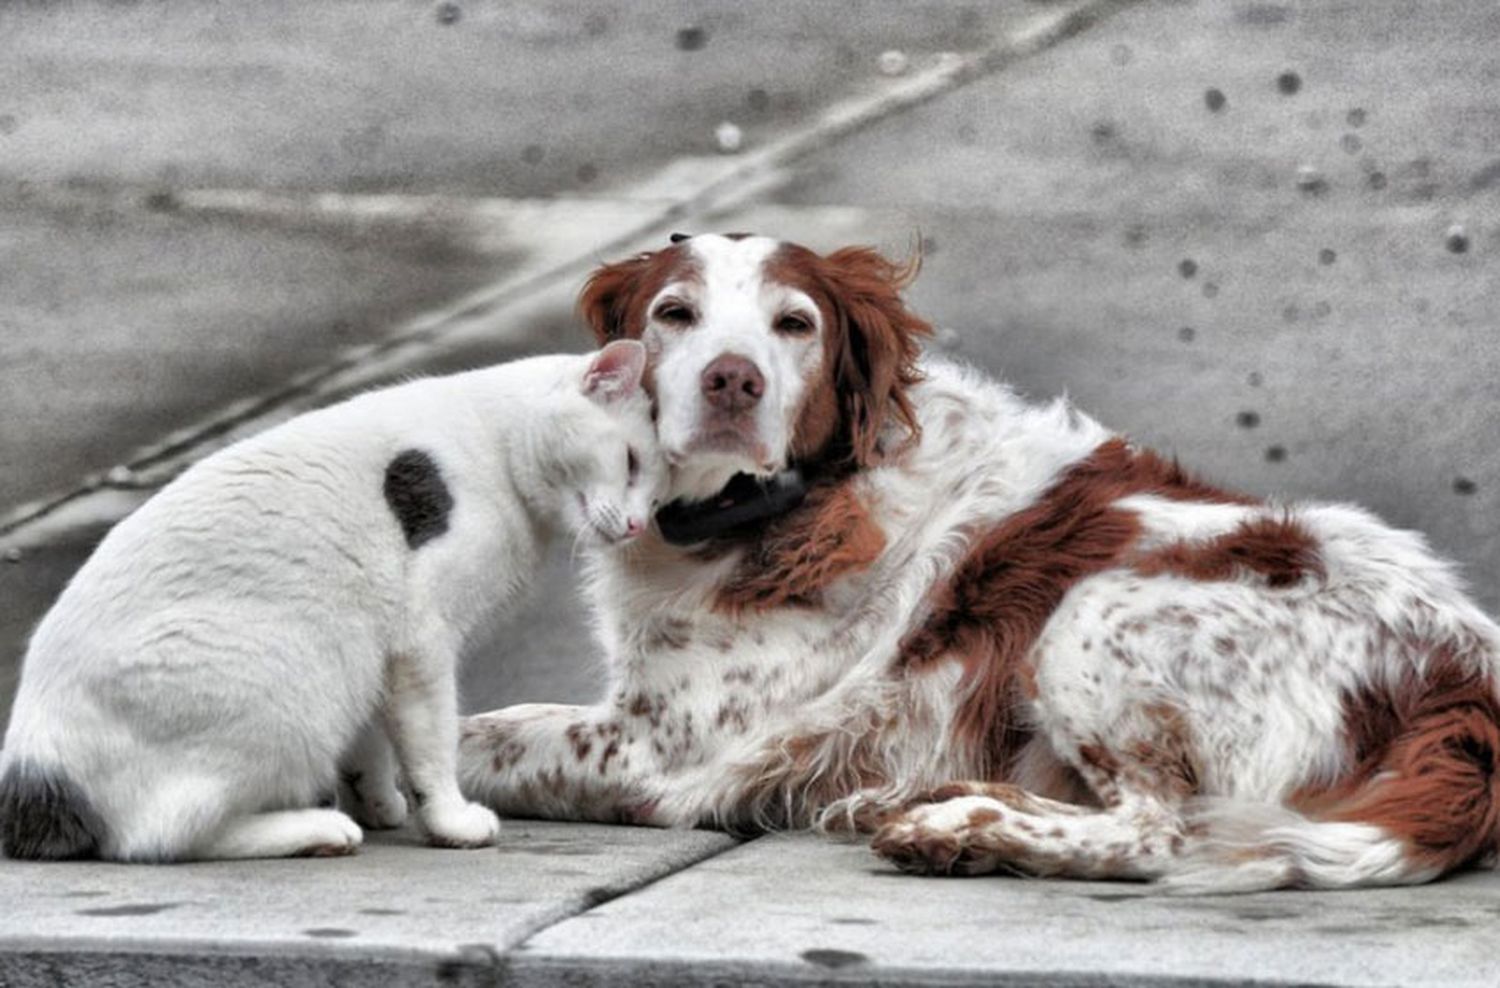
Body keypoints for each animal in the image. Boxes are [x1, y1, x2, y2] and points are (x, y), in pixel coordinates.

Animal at [0, 338, 669, 857]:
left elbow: (374, 736)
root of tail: (33, 766)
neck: (496, 444)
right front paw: (450, 821)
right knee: (159, 837)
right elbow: (432, 741)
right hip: (290, 677)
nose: (639, 524)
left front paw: (379, 800)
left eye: (656, 492)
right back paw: (319, 828)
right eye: (631, 462)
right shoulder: (421, 639)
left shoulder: (378, 647)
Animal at [453, 233, 1500, 899]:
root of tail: (1464, 684)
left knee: (1161, 828)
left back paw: (955, 833)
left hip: (1090, 617)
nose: (732, 380)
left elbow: (481, 737)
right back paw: (947, 802)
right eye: (674, 312)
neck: (781, 506)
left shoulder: (664, 749)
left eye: (796, 324)